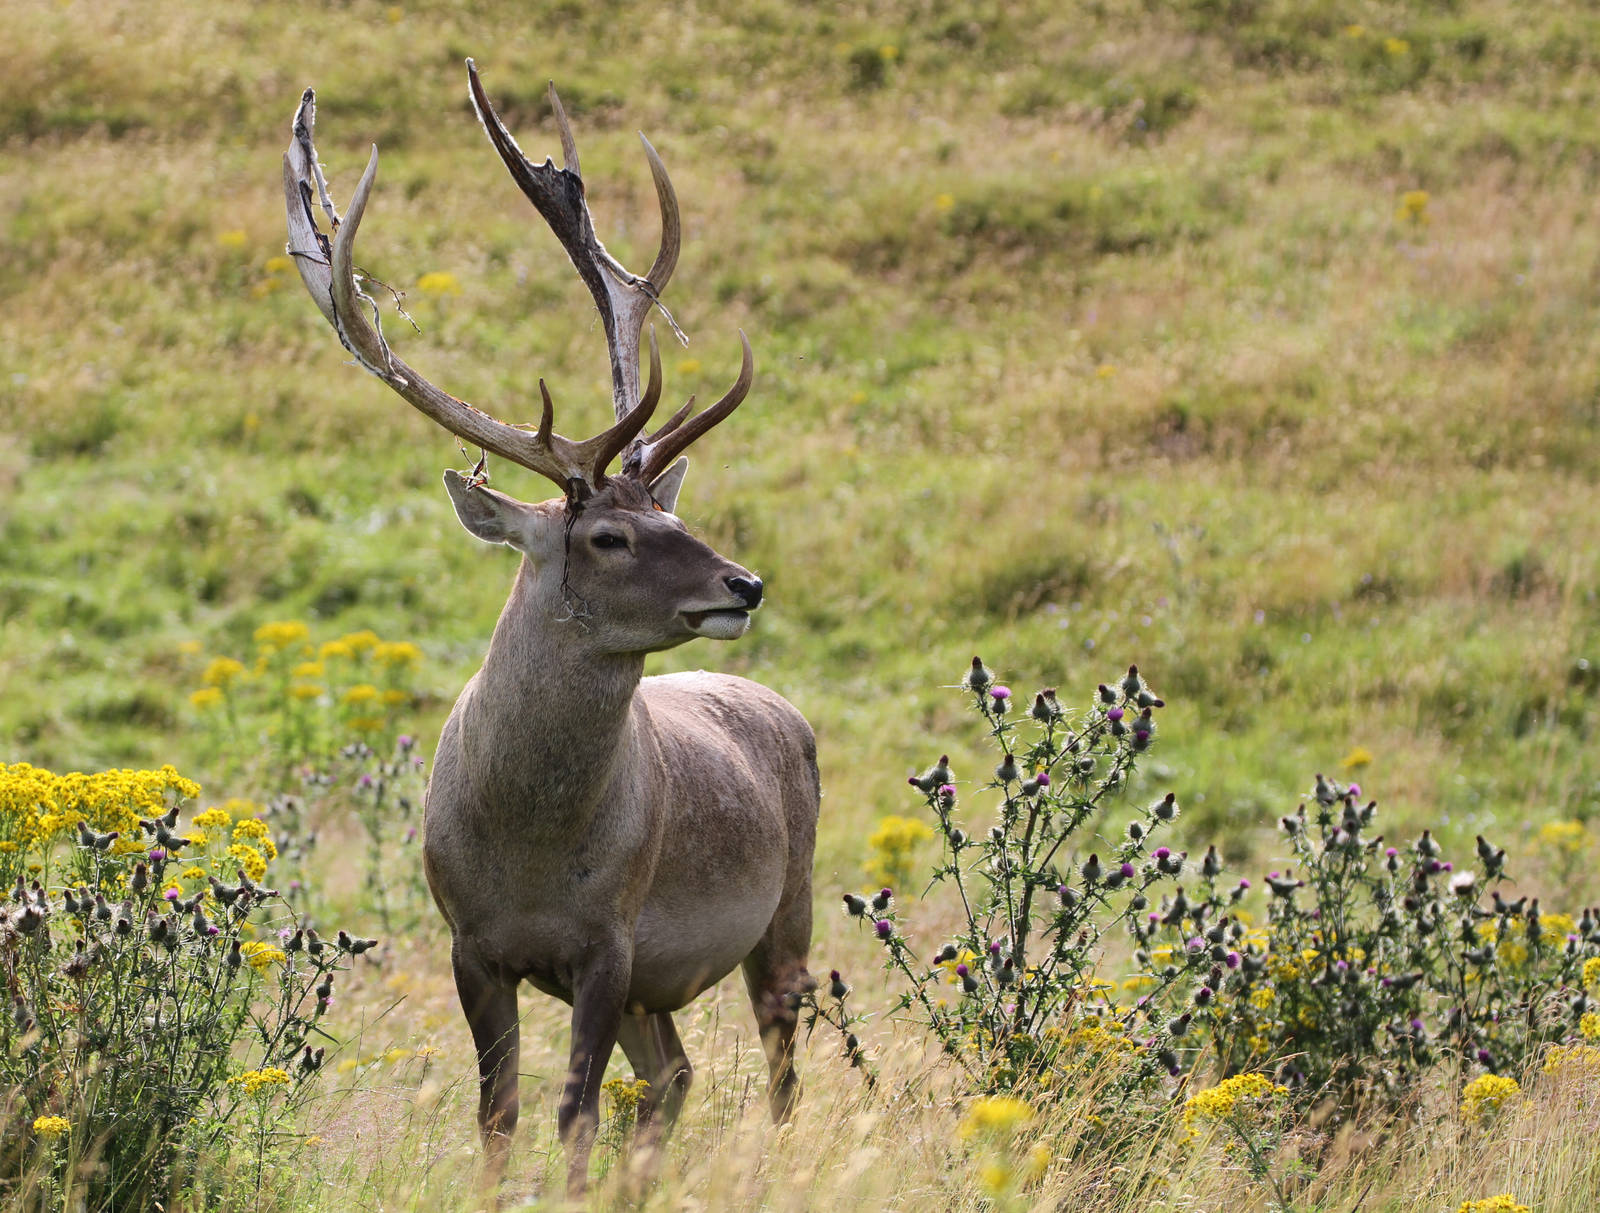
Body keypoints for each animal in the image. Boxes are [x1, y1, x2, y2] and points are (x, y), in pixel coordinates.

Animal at [281, 62, 820, 1195]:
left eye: (672, 512)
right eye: (610, 534)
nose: (744, 583)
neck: (529, 851)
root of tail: (784, 709)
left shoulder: (608, 942)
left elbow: (573, 1113)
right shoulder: (470, 943)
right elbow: (499, 1115)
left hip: (783, 907)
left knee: (780, 1065)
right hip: (663, 982)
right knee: (675, 1075)